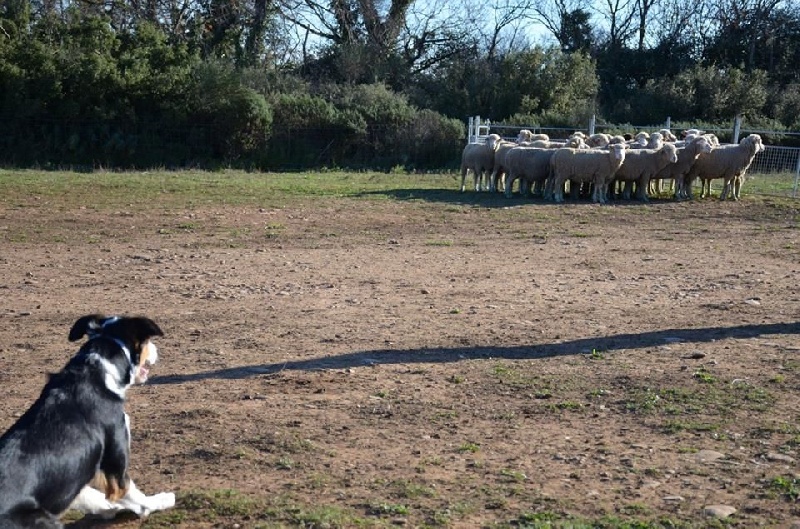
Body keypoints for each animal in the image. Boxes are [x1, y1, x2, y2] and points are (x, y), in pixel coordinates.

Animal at [0, 314, 174, 524]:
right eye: (148, 341)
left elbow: (93, 497)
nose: (157, 350)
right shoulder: (115, 468)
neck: (98, 370)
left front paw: (112, 509)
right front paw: (161, 500)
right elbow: (136, 497)